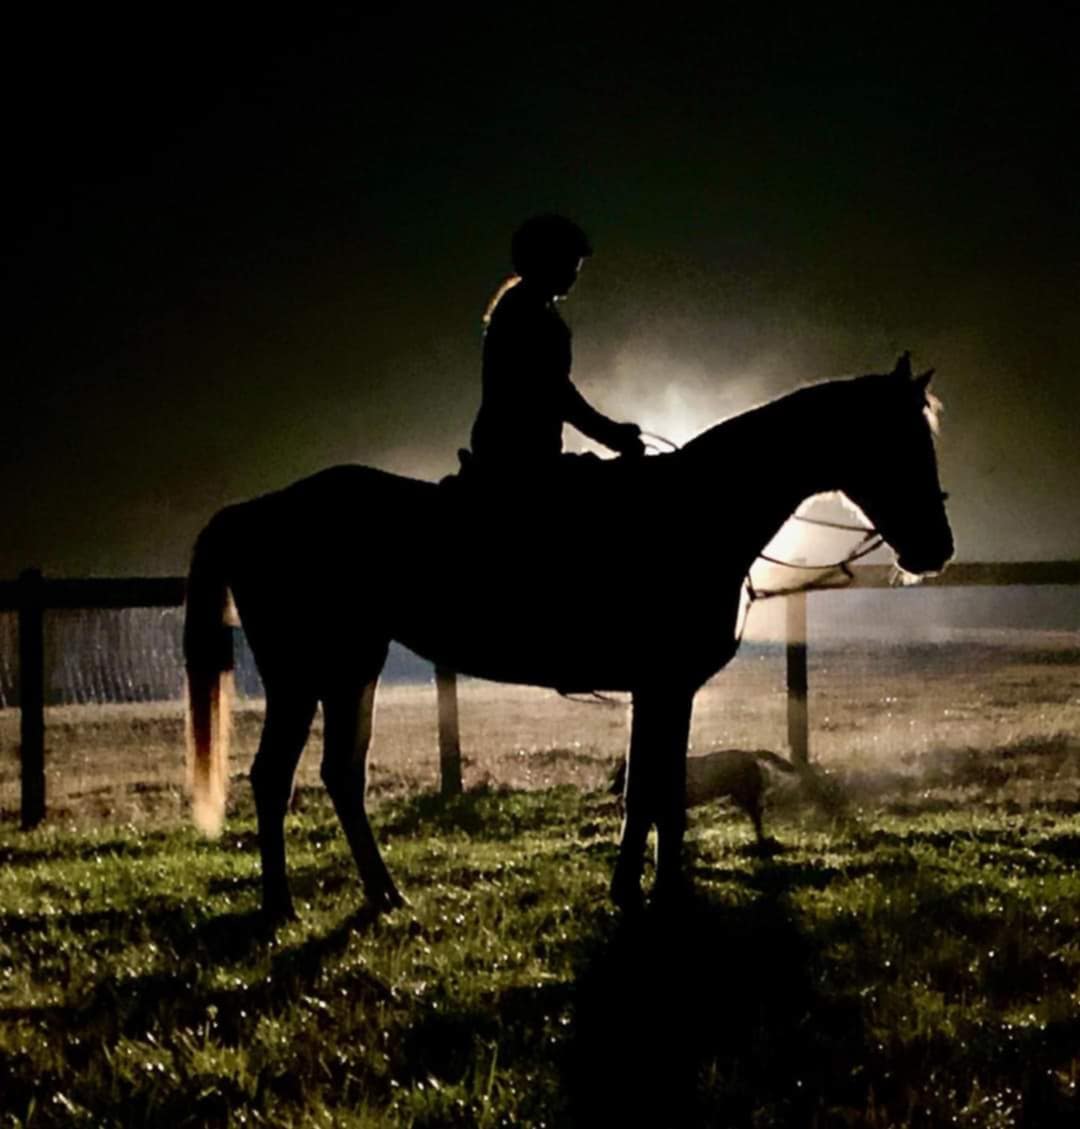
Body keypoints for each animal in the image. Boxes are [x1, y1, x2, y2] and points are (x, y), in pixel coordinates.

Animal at [182, 352, 952, 916]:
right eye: (901, 440)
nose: (936, 548)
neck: (698, 513)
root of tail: (254, 510)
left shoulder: (662, 688)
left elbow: (657, 787)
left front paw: (644, 888)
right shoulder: (666, 683)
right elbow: (654, 790)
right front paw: (653, 894)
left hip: (352, 668)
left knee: (341, 774)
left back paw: (385, 893)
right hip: (301, 676)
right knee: (273, 776)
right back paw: (281, 905)